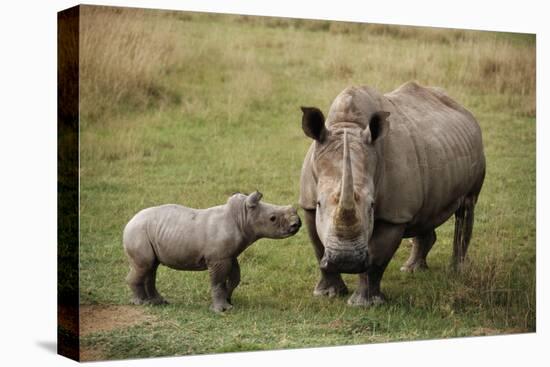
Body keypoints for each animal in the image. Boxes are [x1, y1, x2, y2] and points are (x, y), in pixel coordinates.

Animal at [124, 193, 302, 314]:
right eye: (272, 218)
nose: (297, 224)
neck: (243, 216)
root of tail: (129, 222)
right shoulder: (218, 258)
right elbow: (218, 281)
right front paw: (222, 309)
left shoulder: (228, 255)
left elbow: (234, 278)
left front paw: (229, 300)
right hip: (138, 232)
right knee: (144, 265)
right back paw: (140, 303)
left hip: (147, 232)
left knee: (151, 267)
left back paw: (158, 302)